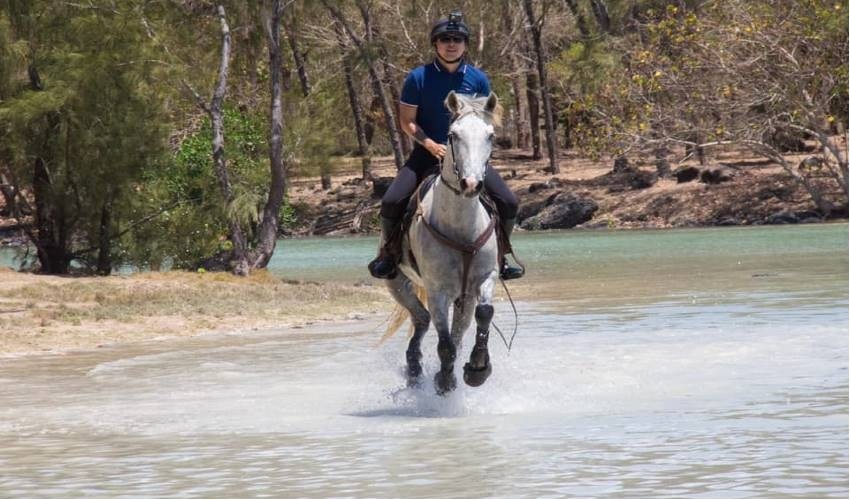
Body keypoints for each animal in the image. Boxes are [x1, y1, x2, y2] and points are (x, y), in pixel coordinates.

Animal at [385, 91, 501, 395]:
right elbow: (445, 344)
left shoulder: (485, 277)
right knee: (422, 319)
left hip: (463, 298)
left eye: (491, 135)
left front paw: (477, 368)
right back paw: (414, 368)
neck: (461, 227)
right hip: (396, 282)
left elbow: (484, 313)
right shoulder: (437, 290)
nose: (471, 184)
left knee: (456, 329)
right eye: (453, 135)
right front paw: (445, 381)